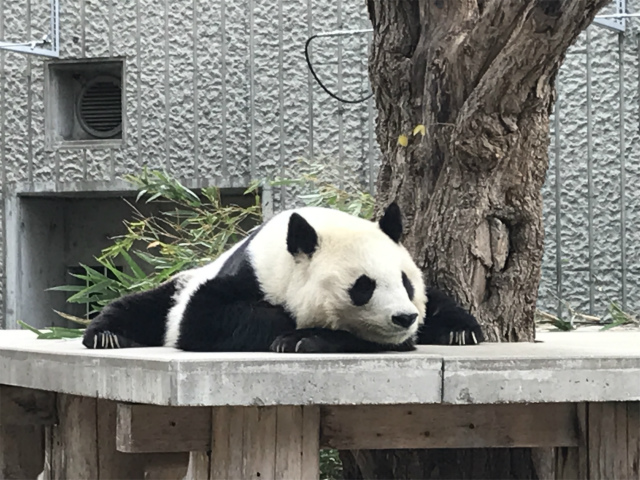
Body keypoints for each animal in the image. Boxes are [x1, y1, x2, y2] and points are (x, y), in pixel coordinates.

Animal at [84, 202, 484, 352]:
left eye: (405, 282)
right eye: (363, 287)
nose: (404, 317)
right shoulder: (245, 274)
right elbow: (206, 318)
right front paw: (293, 333)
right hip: (176, 289)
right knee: (143, 306)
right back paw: (107, 336)